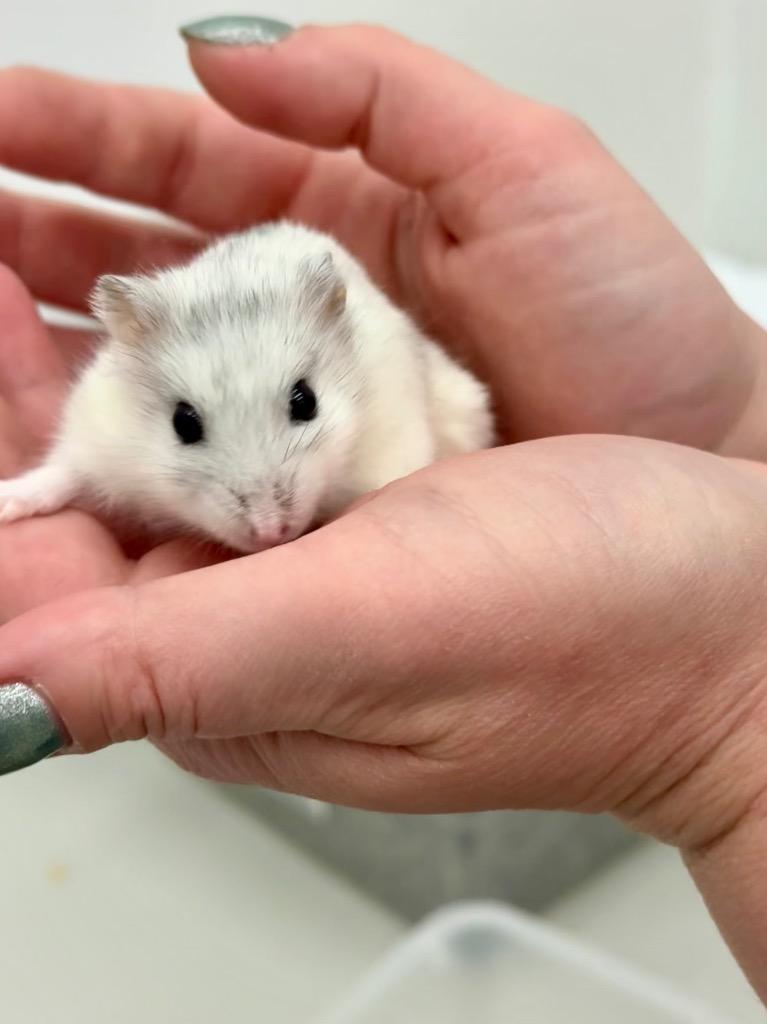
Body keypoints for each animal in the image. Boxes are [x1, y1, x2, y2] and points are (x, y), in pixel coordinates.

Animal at [0, 222, 494, 553]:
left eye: (306, 401)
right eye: (183, 423)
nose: (272, 533)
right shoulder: (96, 435)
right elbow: (61, 473)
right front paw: (8, 505)